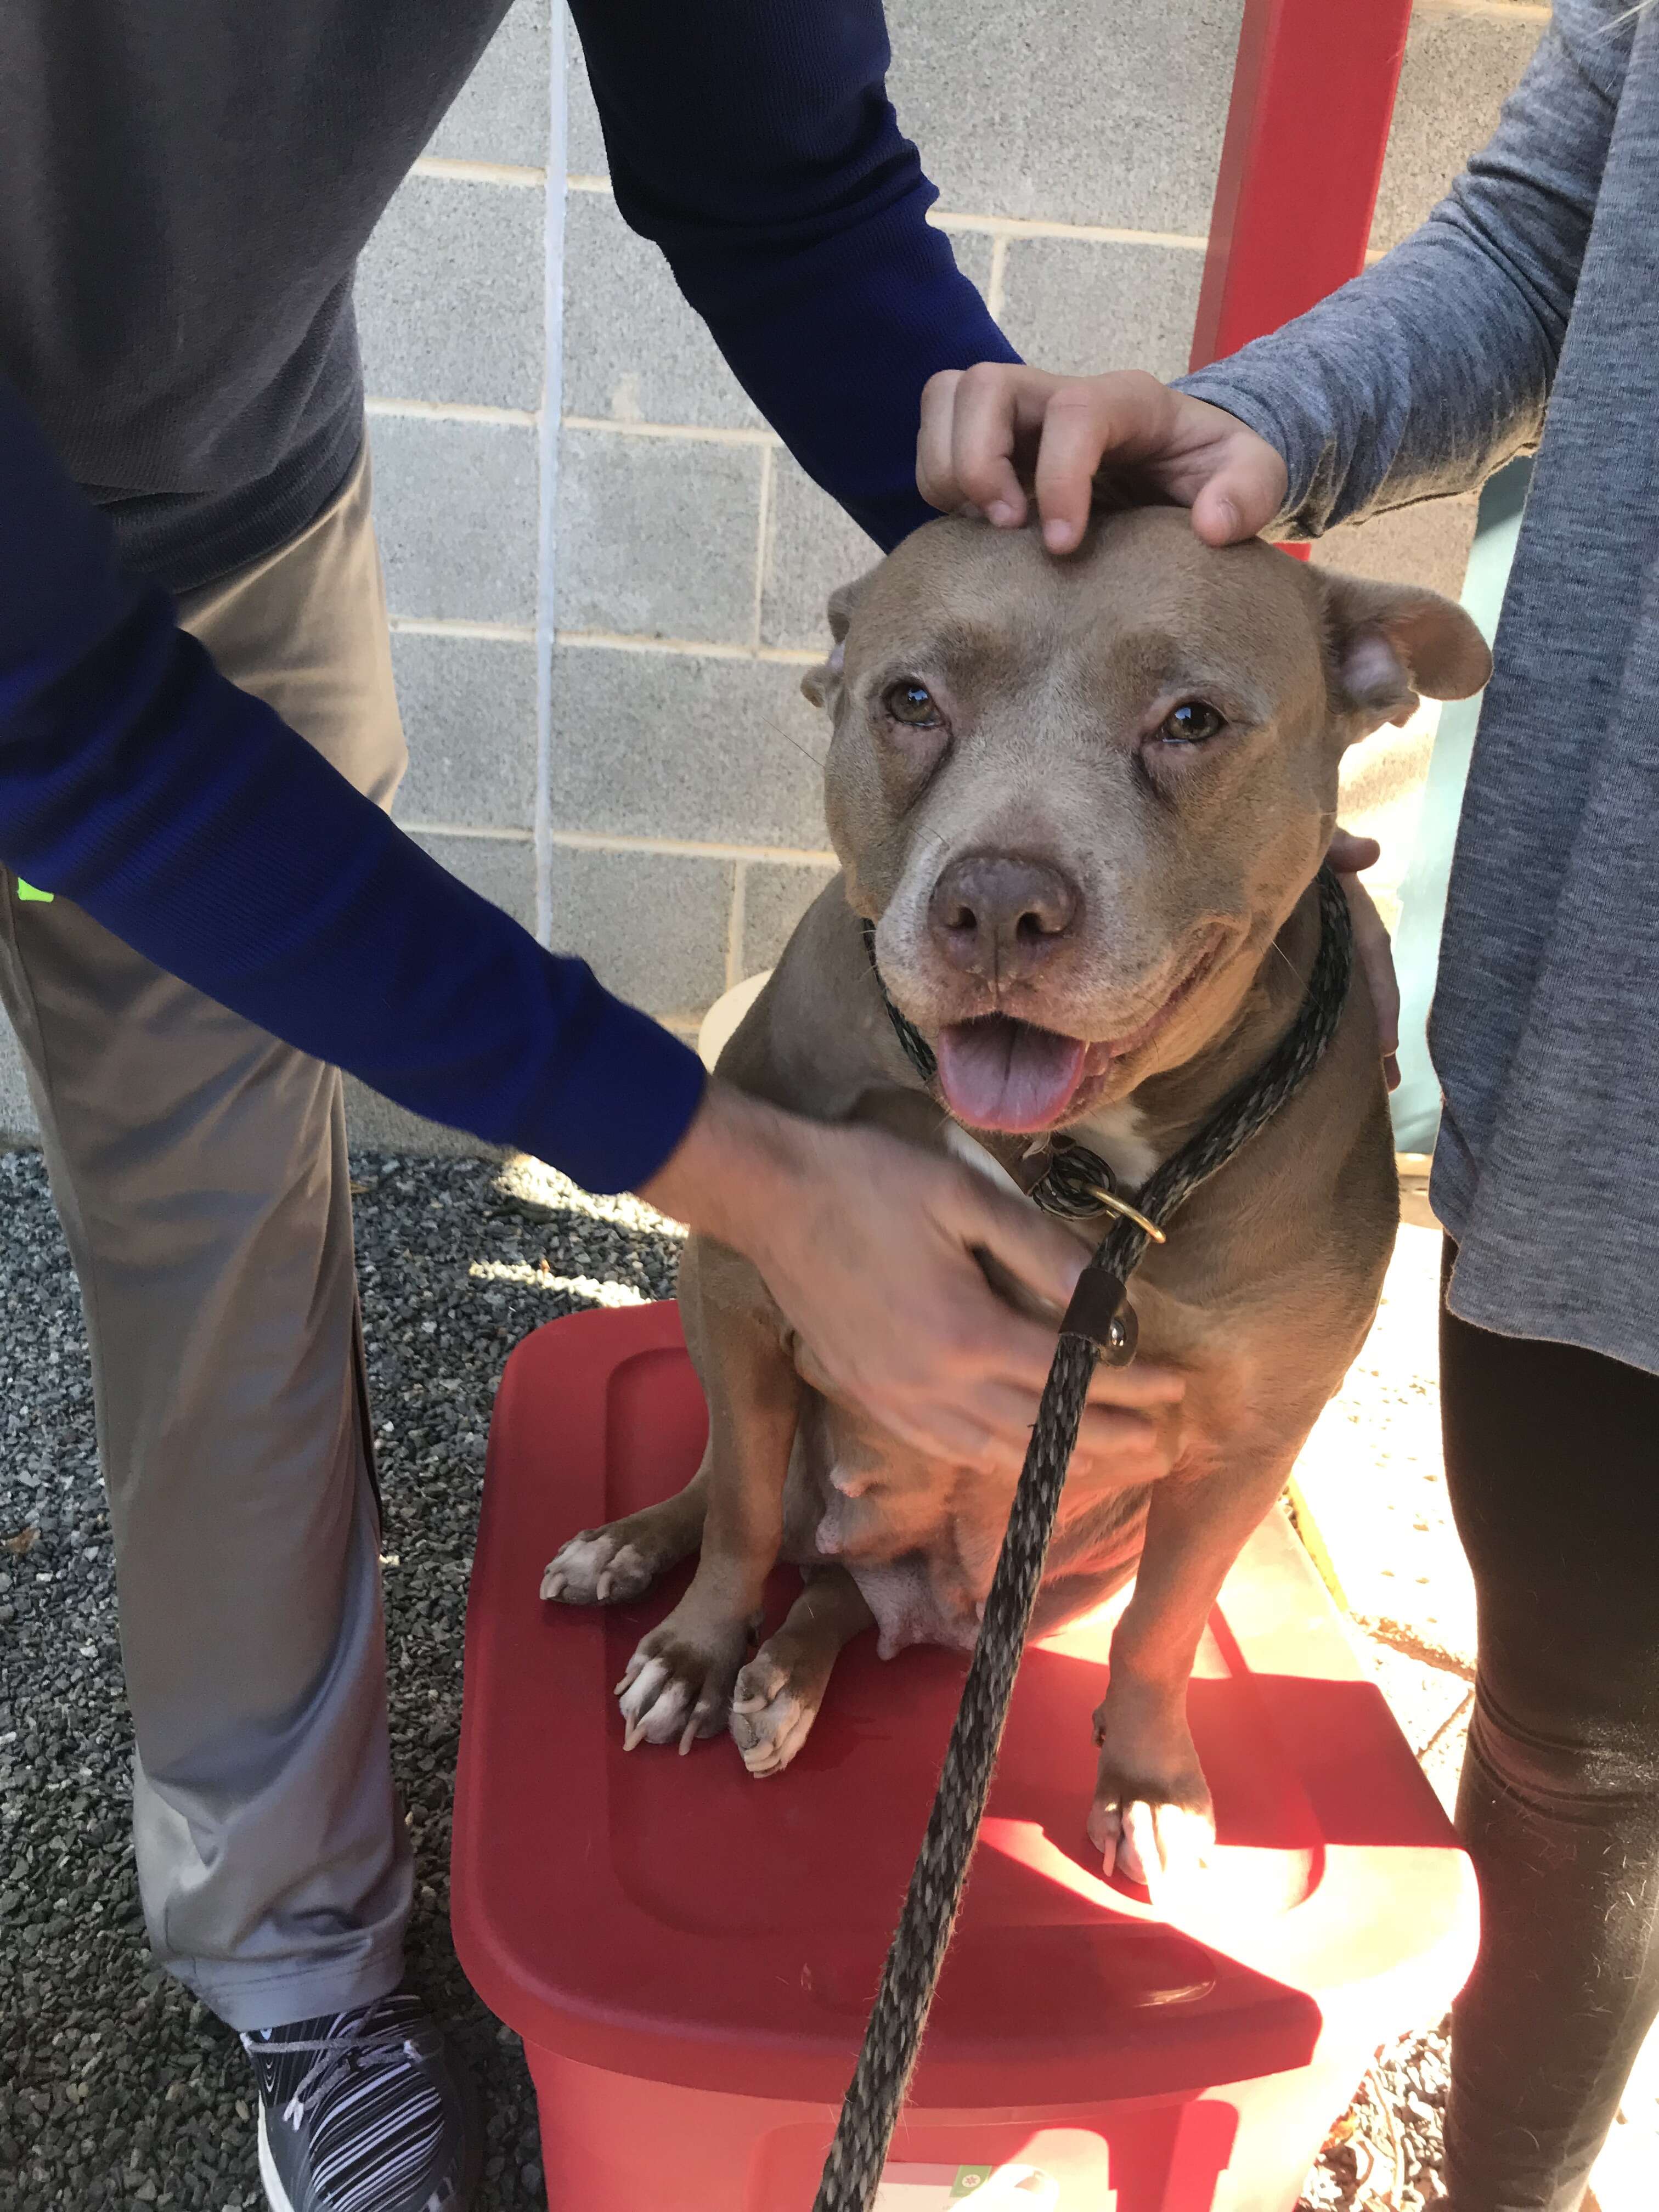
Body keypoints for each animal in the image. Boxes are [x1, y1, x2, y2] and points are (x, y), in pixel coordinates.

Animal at [546, 513, 1495, 1884]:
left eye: (1194, 718)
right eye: (911, 701)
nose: (997, 900)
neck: (1063, 1162)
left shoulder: (1257, 1434)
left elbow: (1166, 1627)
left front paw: (1149, 1780)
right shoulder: (743, 1278)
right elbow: (737, 1515)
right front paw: (696, 1648)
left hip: (1059, 1566)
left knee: (846, 1594)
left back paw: (789, 1679)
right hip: (718, 1328)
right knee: (744, 1486)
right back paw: (642, 1558)